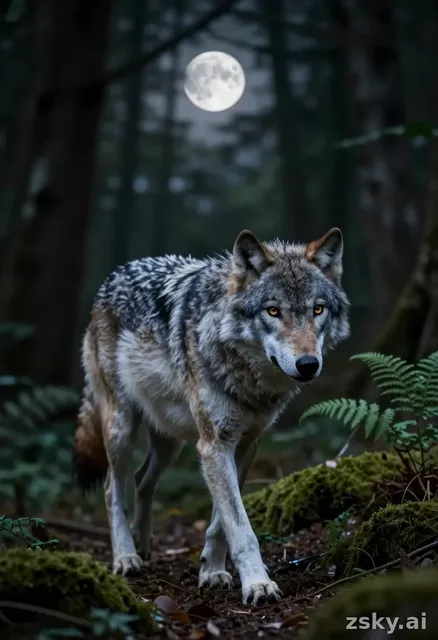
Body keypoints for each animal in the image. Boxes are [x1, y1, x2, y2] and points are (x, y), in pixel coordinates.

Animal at [74, 227, 350, 605]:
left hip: (169, 439)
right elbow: (241, 527)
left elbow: (222, 521)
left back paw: (144, 545)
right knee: (111, 486)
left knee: (143, 479)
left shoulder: (245, 443)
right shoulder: (215, 444)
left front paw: (212, 570)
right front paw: (258, 584)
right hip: (121, 427)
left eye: (317, 309)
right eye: (273, 311)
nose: (308, 364)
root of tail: (114, 275)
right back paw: (127, 556)